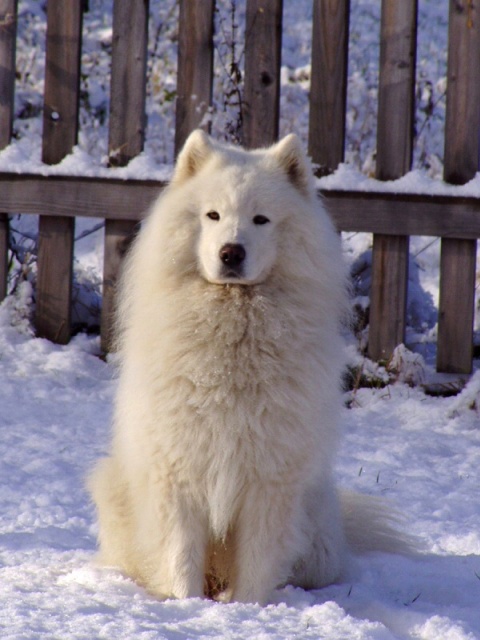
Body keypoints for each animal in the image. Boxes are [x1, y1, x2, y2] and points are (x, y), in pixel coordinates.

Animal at [90, 131, 412, 604]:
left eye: (261, 219)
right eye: (213, 215)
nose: (231, 252)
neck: (233, 329)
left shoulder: (269, 477)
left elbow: (259, 560)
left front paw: (248, 609)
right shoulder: (178, 468)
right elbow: (180, 554)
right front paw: (185, 606)